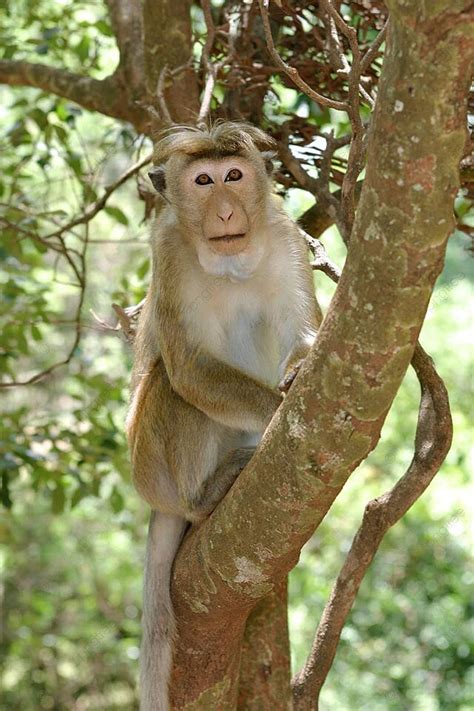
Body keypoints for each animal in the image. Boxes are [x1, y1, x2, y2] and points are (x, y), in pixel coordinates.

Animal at [126, 122, 320, 711]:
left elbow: (306, 332)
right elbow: (189, 368)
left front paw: (297, 372)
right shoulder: (166, 249)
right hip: (150, 467)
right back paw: (203, 497)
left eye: (233, 175)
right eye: (204, 181)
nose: (227, 211)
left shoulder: (286, 239)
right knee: (170, 386)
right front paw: (278, 408)